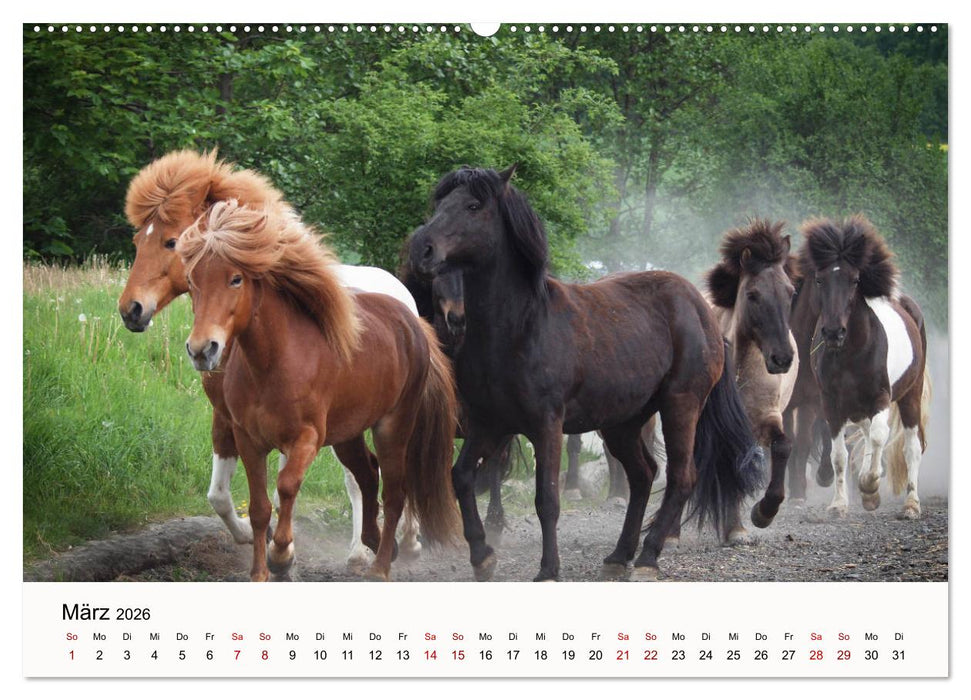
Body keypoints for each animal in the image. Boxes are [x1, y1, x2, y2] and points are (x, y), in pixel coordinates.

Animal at [117, 150, 421, 571]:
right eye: (137, 240)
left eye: (171, 241)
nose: (131, 310)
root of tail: (399, 292)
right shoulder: (228, 417)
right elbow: (220, 494)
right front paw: (250, 533)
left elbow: (281, 488)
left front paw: (284, 549)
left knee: (374, 473)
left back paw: (387, 545)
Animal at [178, 199, 461, 581]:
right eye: (191, 281)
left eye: (236, 279)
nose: (201, 350)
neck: (273, 364)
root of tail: (412, 322)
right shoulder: (247, 439)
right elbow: (259, 507)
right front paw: (260, 572)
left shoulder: (305, 438)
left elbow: (285, 487)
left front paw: (281, 556)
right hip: (348, 434)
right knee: (368, 475)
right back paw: (372, 545)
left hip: (392, 426)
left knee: (395, 490)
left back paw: (380, 565)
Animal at [409, 165, 763, 582]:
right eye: (440, 203)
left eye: (473, 205)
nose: (421, 248)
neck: (519, 328)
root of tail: (702, 310)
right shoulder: (488, 424)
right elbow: (461, 478)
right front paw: (483, 557)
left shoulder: (546, 425)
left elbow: (547, 499)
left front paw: (548, 570)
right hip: (622, 422)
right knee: (643, 474)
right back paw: (619, 555)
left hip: (681, 406)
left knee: (680, 477)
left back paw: (648, 557)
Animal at [704, 219, 799, 537]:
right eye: (753, 295)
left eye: (791, 292)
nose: (782, 358)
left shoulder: (767, 417)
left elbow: (783, 446)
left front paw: (763, 513)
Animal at [797, 215, 930, 518]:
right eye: (820, 279)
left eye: (855, 279)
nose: (834, 333)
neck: (852, 353)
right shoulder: (831, 403)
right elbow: (839, 455)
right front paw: (839, 504)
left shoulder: (881, 396)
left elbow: (880, 438)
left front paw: (869, 486)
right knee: (867, 436)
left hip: (910, 394)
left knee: (910, 447)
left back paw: (911, 504)